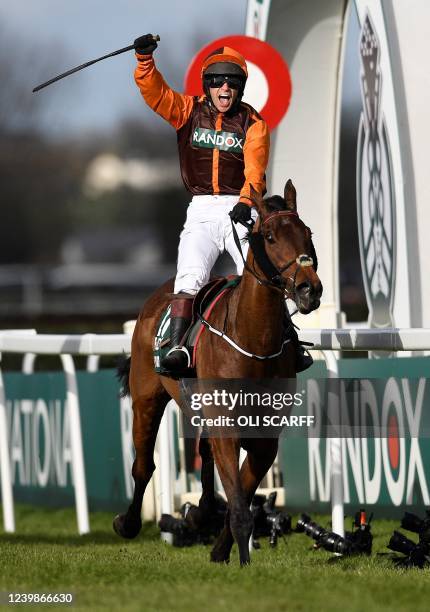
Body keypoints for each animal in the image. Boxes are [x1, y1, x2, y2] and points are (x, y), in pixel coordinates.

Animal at [114, 179, 322, 568]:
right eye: (269, 236)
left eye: (308, 233)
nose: (309, 288)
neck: (253, 339)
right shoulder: (227, 423)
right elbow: (239, 503)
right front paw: (241, 559)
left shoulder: (265, 436)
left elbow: (243, 492)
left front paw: (221, 547)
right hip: (147, 398)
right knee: (143, 465)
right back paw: (129, 523)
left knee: (203, 452)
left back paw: (201, 511)